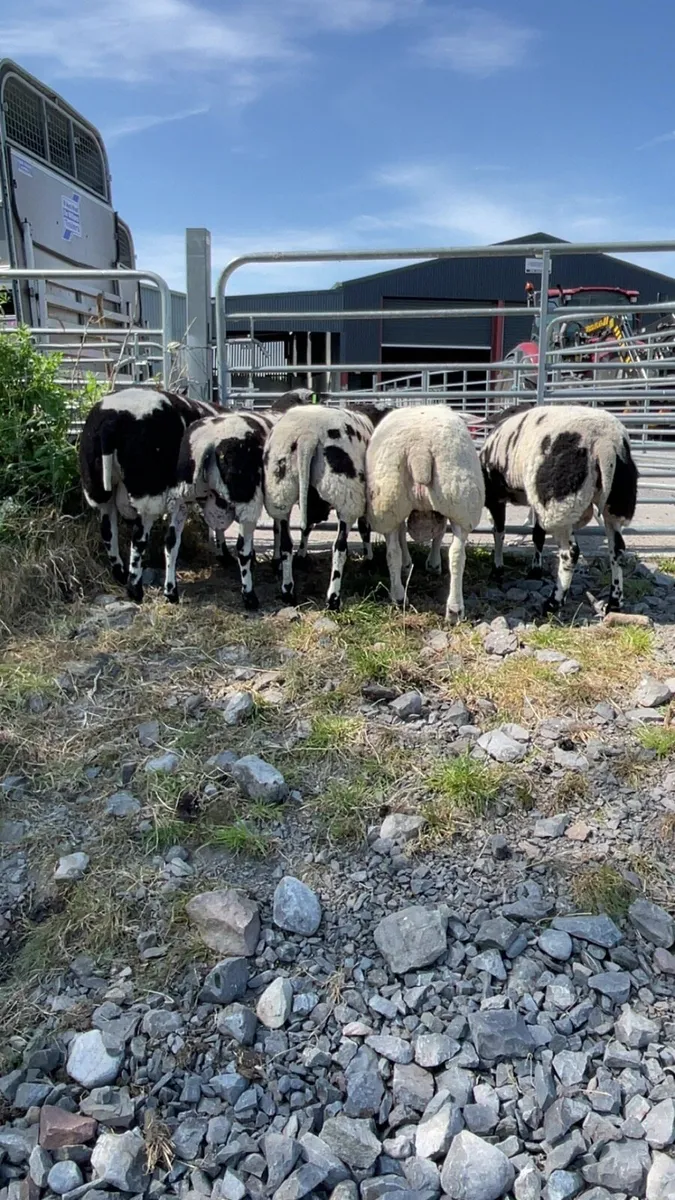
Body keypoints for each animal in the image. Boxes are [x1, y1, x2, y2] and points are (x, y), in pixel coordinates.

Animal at [79, 387, 215, 602]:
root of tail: (110, 422)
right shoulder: (182, 500)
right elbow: (172, 541)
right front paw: (170, 592)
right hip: (149, 493)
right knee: (140, 539)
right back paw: (136, 589)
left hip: (97, 488)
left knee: (108, 531)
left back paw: (121, 575)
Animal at [263, 403, 385, 610]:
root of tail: (307, 436)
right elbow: (364, 529)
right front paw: (369, 560)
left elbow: (306, 528)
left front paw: (302, 556)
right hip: (346, 494)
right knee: (340, 547)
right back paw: (333, 599)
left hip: (280, 492)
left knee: (287, 543)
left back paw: (288, 592)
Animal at [366, 406, 484, 622]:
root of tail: (419, 450)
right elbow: (438, 532)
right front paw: (433, 564)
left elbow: (405, 535)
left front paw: (411, 564)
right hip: (461, 502)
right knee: (456, 553)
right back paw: (454, 609)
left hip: (388, 501)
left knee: (393, 552)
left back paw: (401, 597)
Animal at [480, 402, 639, 614]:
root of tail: (605, 442)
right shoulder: (537, 501)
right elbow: (537, 535)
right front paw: (535, 570)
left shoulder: (496, 497)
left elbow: (499, 533)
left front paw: (497, 570)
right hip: (613, 502)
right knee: (617, 550)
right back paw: (614, 602)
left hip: (560, 502)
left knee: (570, 552)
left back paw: (553, 602)